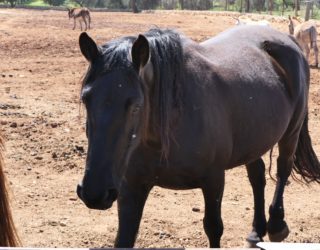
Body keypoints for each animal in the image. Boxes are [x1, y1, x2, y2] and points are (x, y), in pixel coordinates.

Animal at [75, 25, 320, 248]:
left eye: (135, 105)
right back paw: (255, 232)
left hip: (291, 132)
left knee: (283, 168)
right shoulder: (131, 188)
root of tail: (289, 40)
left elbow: (213, 227)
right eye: (86, 99)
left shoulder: (213, 180)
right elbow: (124, 237)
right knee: (257, 176)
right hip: (254, 137)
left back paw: (277, 225)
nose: (94, 193)